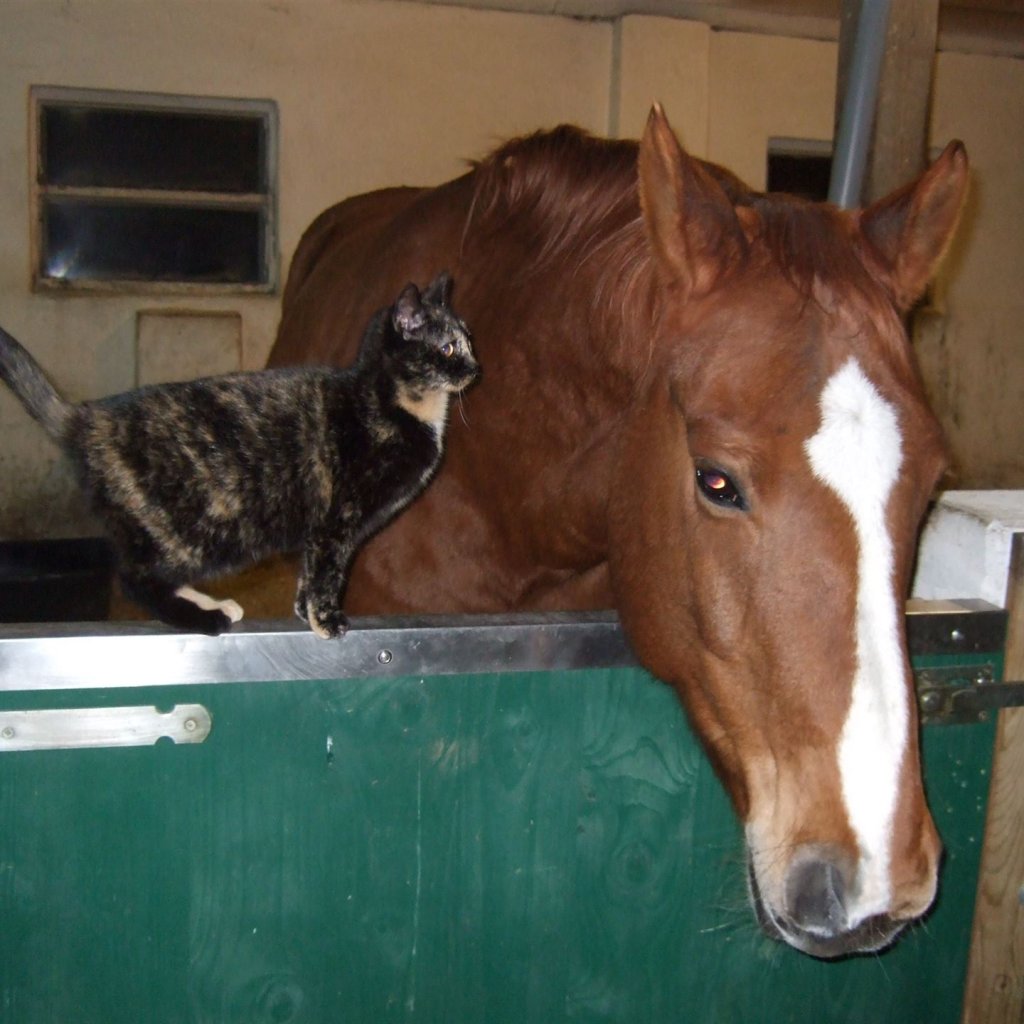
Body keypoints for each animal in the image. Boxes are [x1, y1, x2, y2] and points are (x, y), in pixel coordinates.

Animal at [0, 272, 479, 637]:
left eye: (469, 341)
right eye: (447, 348)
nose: (476, 368)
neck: (400, 404)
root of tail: (86, 417)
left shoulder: (318, 528)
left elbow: (309, 571)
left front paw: (305, 612)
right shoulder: (336, 519)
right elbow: (328, 572)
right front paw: (327, 620)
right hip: (191, 530)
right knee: (135, 580)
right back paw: (202, 618)